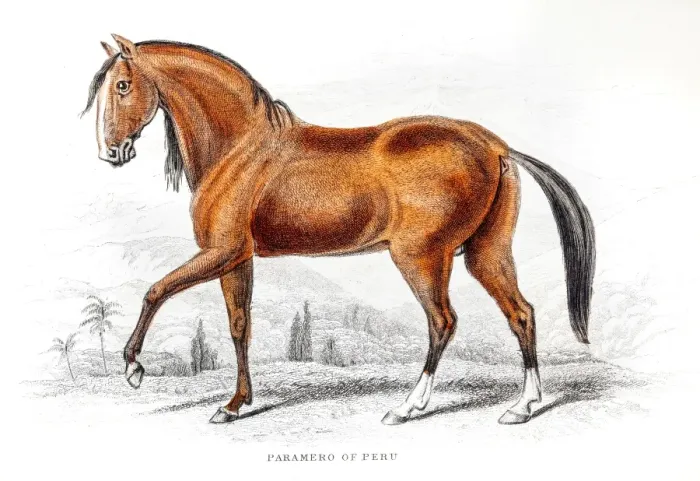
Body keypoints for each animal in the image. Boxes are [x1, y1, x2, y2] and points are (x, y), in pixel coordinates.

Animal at [83, 35, 595, 426]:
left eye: (123, 85)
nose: (110, 152)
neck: (240, 148)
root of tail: (495, 146)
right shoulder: (238, 259)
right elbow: (239, 325)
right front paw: (234, 405)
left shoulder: (220, 252)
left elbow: (156, 290)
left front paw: (133, 367)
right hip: (485, 253)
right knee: (521, 315)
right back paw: (523, 407)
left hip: (421, 257)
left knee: (442, 322)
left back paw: (408, 407)